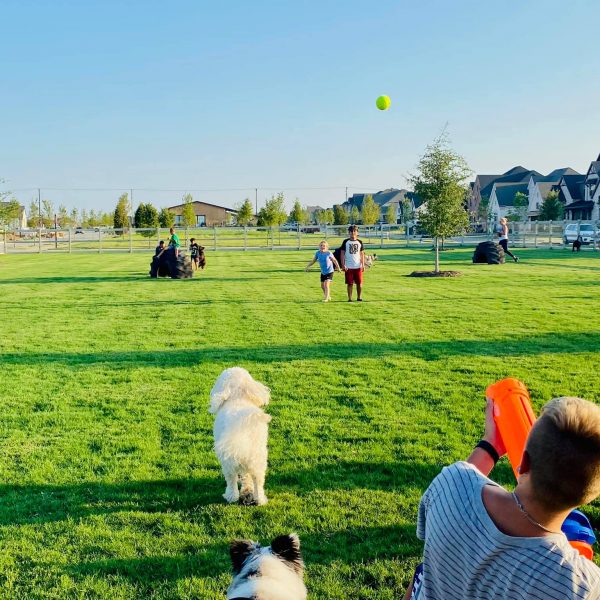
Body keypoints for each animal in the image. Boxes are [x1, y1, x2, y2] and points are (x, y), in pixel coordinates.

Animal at [209, 368, 270, 504]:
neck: (237, 397)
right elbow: (247, 476)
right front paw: (247, 489)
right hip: (258, 458)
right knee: (258, 480)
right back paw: (260, 499)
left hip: (228, 461)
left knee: (231, 480)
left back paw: (231, 496)